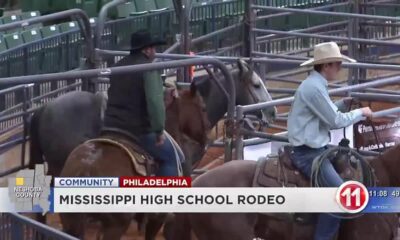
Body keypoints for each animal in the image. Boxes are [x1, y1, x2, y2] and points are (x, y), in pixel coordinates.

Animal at [58, 87, 209, 239]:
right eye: (203, 108)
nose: (205, 139)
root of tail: (86, 169)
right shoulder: (156, 219)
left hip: (72, 221)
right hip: (115, 225)